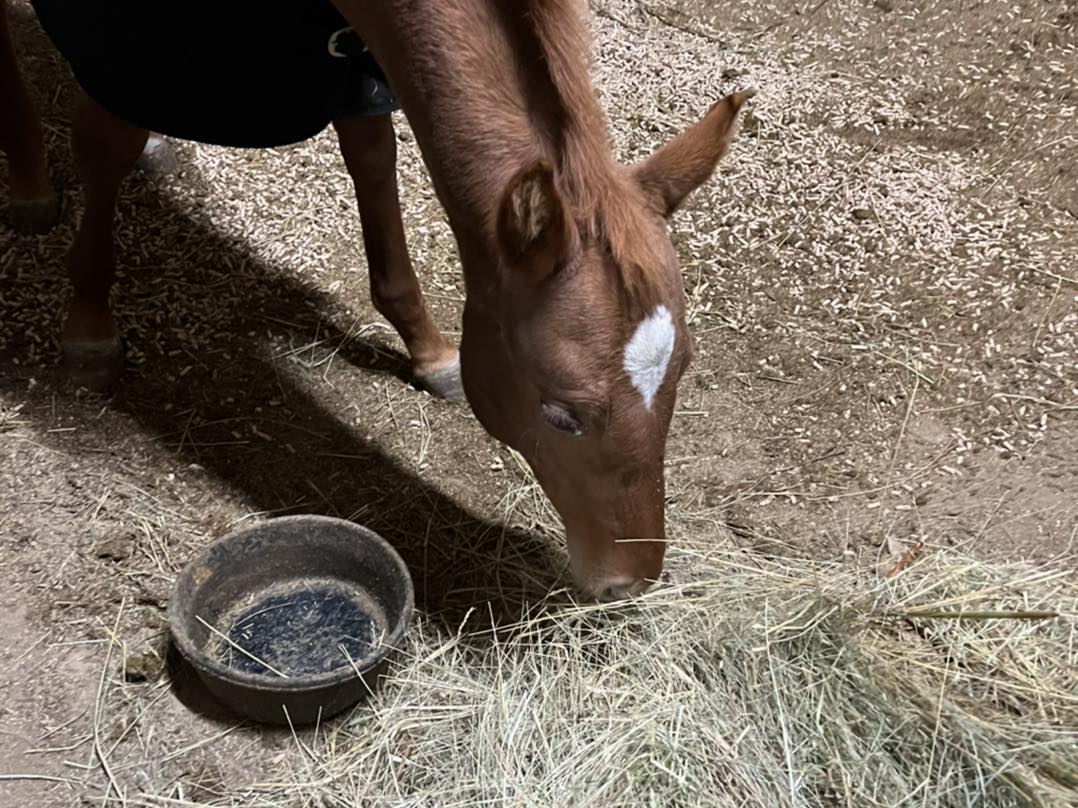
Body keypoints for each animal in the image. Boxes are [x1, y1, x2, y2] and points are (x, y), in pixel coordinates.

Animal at [13, 0, 751, 600]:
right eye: (561, 414)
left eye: (681, 375)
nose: (631, 581)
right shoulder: (133, 44)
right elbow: (105, 145)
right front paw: (88, 327)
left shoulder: (359, 60)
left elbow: (371, 153)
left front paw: (427, 349)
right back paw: (30, 190)